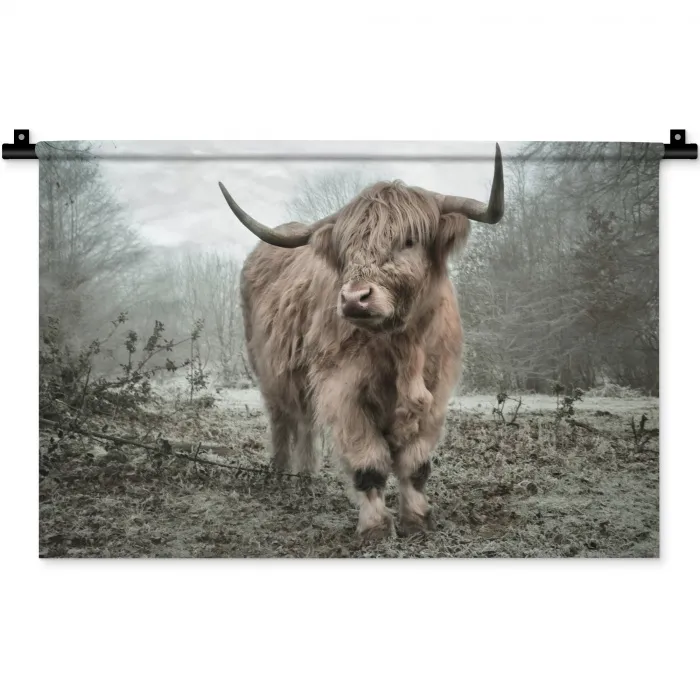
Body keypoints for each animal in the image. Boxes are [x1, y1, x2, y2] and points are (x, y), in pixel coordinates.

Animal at [218, 145, 504, 539]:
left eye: (409, 240)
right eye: (347, 248)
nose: (355, 299)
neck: (402, 348)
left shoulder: (436, 392)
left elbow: (416, 465)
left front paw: (417, 519)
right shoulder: (342, 390)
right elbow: (369, 463)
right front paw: (375, 527)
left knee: (305, 422)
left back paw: (307, 476)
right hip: (268, 370)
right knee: (282, 420)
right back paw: (281, 474)